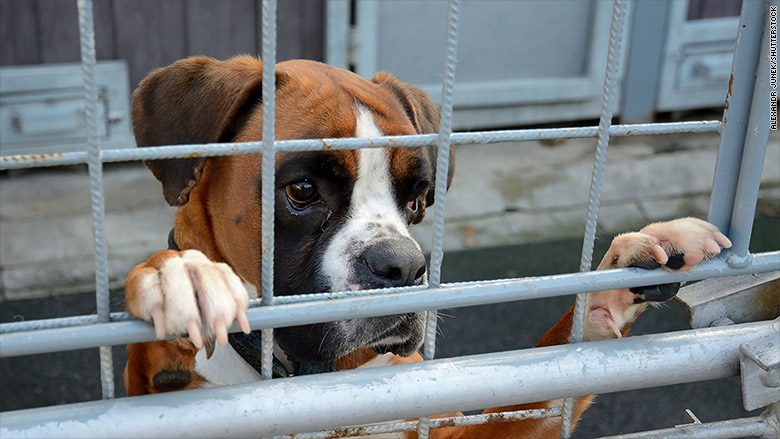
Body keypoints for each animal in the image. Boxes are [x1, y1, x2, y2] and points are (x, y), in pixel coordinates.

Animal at [123, 56, 732, 438]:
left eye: (416, 199)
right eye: (301, 191)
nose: (403, 265)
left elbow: (540, 388)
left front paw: (615, 285)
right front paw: (178, 275)